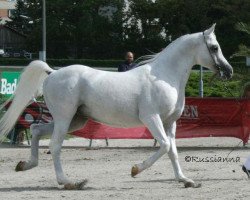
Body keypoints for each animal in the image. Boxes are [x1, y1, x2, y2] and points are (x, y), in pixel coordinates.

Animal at [0, 24, 232, 190]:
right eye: (214, 47)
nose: (228, 71)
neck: (165, 76)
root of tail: (52, 72)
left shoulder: (169, 122)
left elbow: (173, 151)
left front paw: (185, 180)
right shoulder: (151, 118)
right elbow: (165, 145)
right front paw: (135, 170)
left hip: (75, 120)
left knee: (36, 129)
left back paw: (26, 164)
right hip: (65, 118)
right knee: (55, 145)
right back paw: (69, 182)